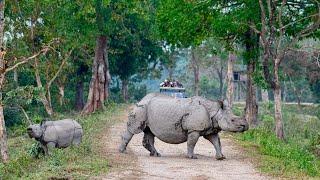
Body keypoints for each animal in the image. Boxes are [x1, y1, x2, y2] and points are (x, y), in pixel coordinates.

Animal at [119, 93, 249, 160]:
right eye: (233, 120)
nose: (246, 126)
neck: (215, 112)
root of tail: (141, 99)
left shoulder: (211, 129)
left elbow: (216, 142)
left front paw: (221, 157)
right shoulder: (194, 129)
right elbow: (192, 143)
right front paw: (192, 157)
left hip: (147, 110)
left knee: (149, 132)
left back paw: (156, 154)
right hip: (141, 109)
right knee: (134, 130)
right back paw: (122, 152)